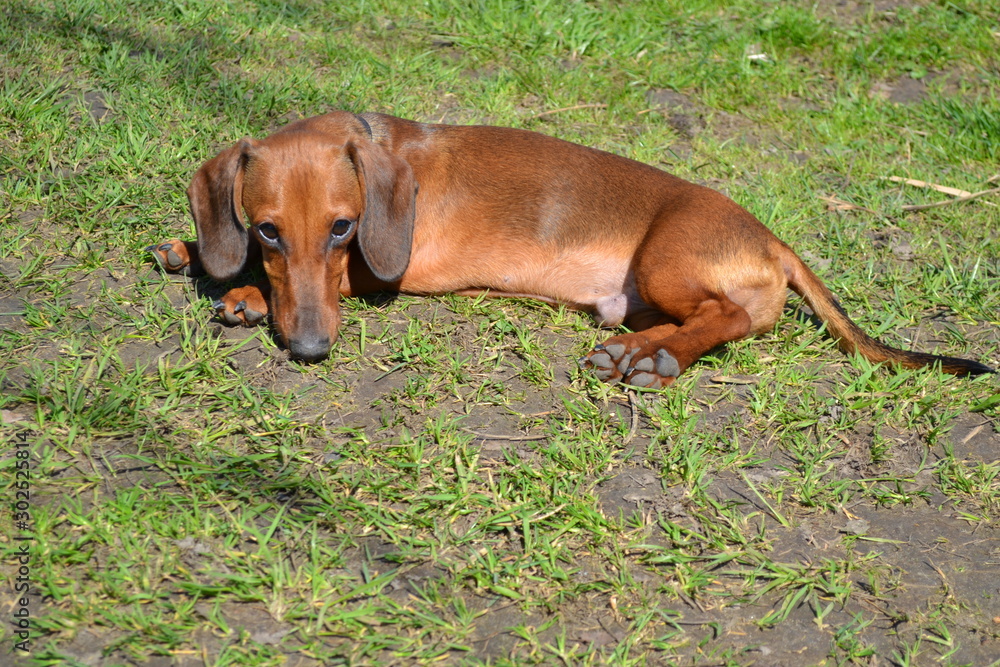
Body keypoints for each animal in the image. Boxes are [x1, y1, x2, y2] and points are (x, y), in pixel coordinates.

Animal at [146, 111, 992, 386]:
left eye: (344, 229)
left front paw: (244, 292)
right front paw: (194, 250)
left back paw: (653, 361)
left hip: (666, 258)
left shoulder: (389, 269)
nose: (313, 350)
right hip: (642, 294)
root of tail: (769, 235)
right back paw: (635, 351)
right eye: (266, 229)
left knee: (726, 318)